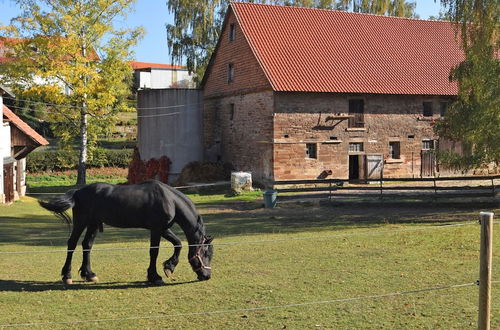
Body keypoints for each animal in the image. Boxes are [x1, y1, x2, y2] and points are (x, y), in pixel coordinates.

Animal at [37, 179, 213, 284]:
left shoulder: (163, 228)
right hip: (82, 222)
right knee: (72, 244)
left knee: (86, 245)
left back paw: (89, 274)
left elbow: (177, 244)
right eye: (205, 253)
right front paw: (155, 276)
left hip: (93, 224)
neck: (170, 200)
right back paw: (67, 276)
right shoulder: (156, 229)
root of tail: (78, 192)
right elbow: (154, 252)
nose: (207, 276)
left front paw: (169, 266)